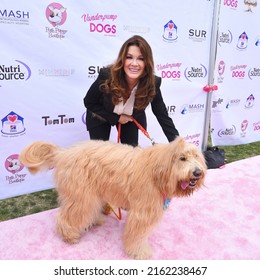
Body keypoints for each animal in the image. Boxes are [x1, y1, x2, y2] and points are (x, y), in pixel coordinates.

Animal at [18, 137, 207, 260]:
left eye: (197, 157)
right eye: (182, 158)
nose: (198, 173)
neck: (158, 172)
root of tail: (63, 153)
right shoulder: (142, 213)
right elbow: (137, 235)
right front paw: (139, 252)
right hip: (81, 196)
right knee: (67, 216)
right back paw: (69, 235)